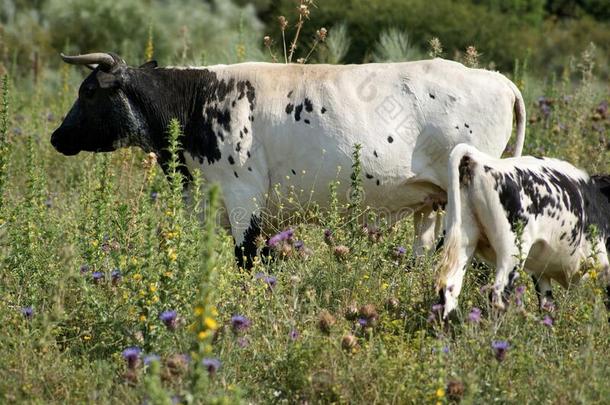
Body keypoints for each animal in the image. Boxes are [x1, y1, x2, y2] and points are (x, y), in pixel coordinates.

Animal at [50, 52, 524, 266]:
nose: (57, 137)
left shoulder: (243, 198)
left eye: (88, 91)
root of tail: (497, 79)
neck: (197, 102)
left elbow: (247, 259)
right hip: (431, 204)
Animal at [434, 144, 608, 318]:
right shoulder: (602, 265)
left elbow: (547, 306)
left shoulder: (541, 271)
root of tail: (478, 160)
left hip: (464, 239)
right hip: (512, 252)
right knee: (498, 296)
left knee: (449, 290)